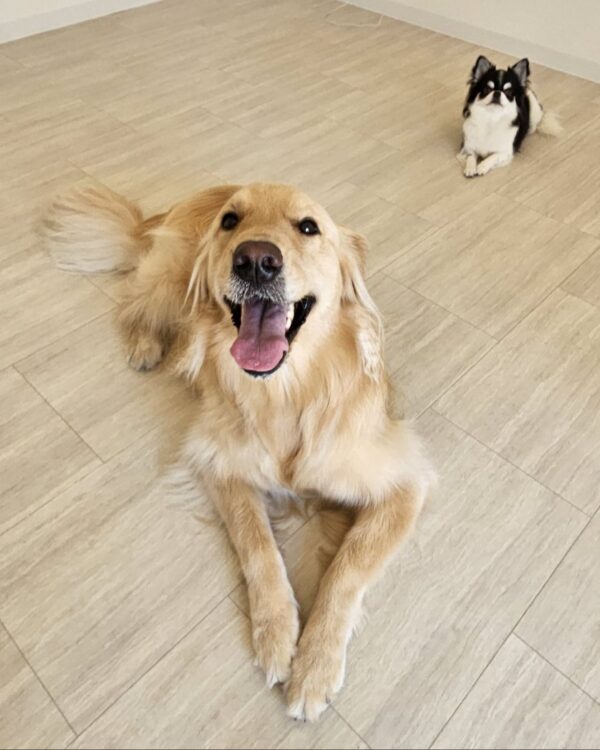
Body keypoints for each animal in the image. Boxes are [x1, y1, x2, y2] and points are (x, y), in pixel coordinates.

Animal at [42, 182, 434, 721]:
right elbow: (258, 546)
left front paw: (316, 665)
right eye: (231, 221)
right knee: (135, 305)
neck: (286, 393)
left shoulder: (402, 483)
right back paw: (145, 345)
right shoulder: (220, 464)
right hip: (169, 285)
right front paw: (277, 635)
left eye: (308, 227)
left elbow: (347, 568)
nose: (256, 261)